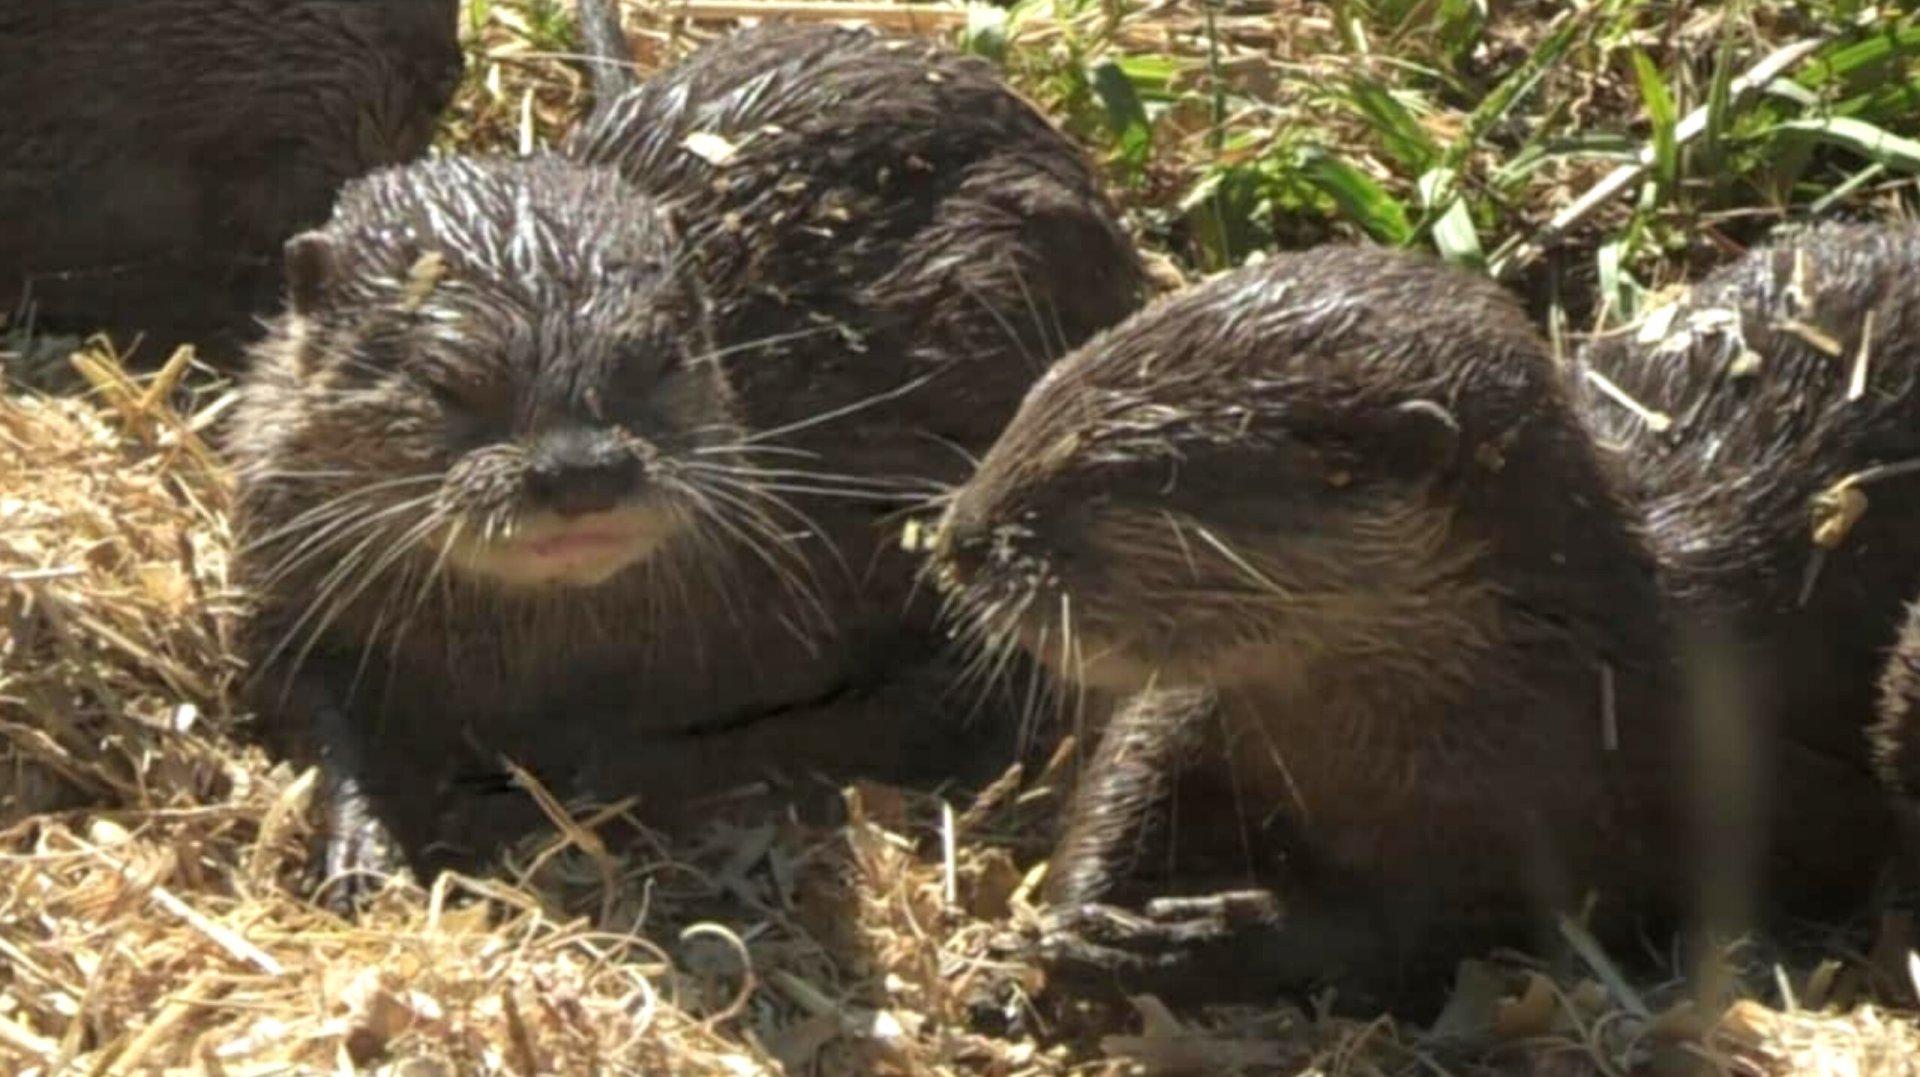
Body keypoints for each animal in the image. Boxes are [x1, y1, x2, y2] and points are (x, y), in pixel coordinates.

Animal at [226, 13, 1148, 898]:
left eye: (661, 358)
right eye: (447, 381)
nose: (583, 472)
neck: (532, 667)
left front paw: (533, 799)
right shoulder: (279, 572)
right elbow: (308, 704)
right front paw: (363, 847)